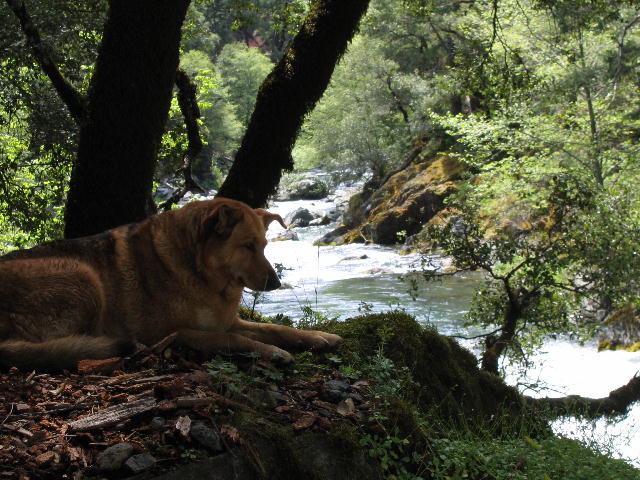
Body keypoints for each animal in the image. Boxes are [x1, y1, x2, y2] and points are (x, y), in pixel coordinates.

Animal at [0, 196, 344, 372]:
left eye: (264, 246)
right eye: (247, 246)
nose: (275, 282)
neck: (201, 272)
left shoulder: (227, 320)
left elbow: (277, 328)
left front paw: (319, 337)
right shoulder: (176, 332)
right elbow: (233, 339)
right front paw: (271, 351)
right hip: (83, 276)